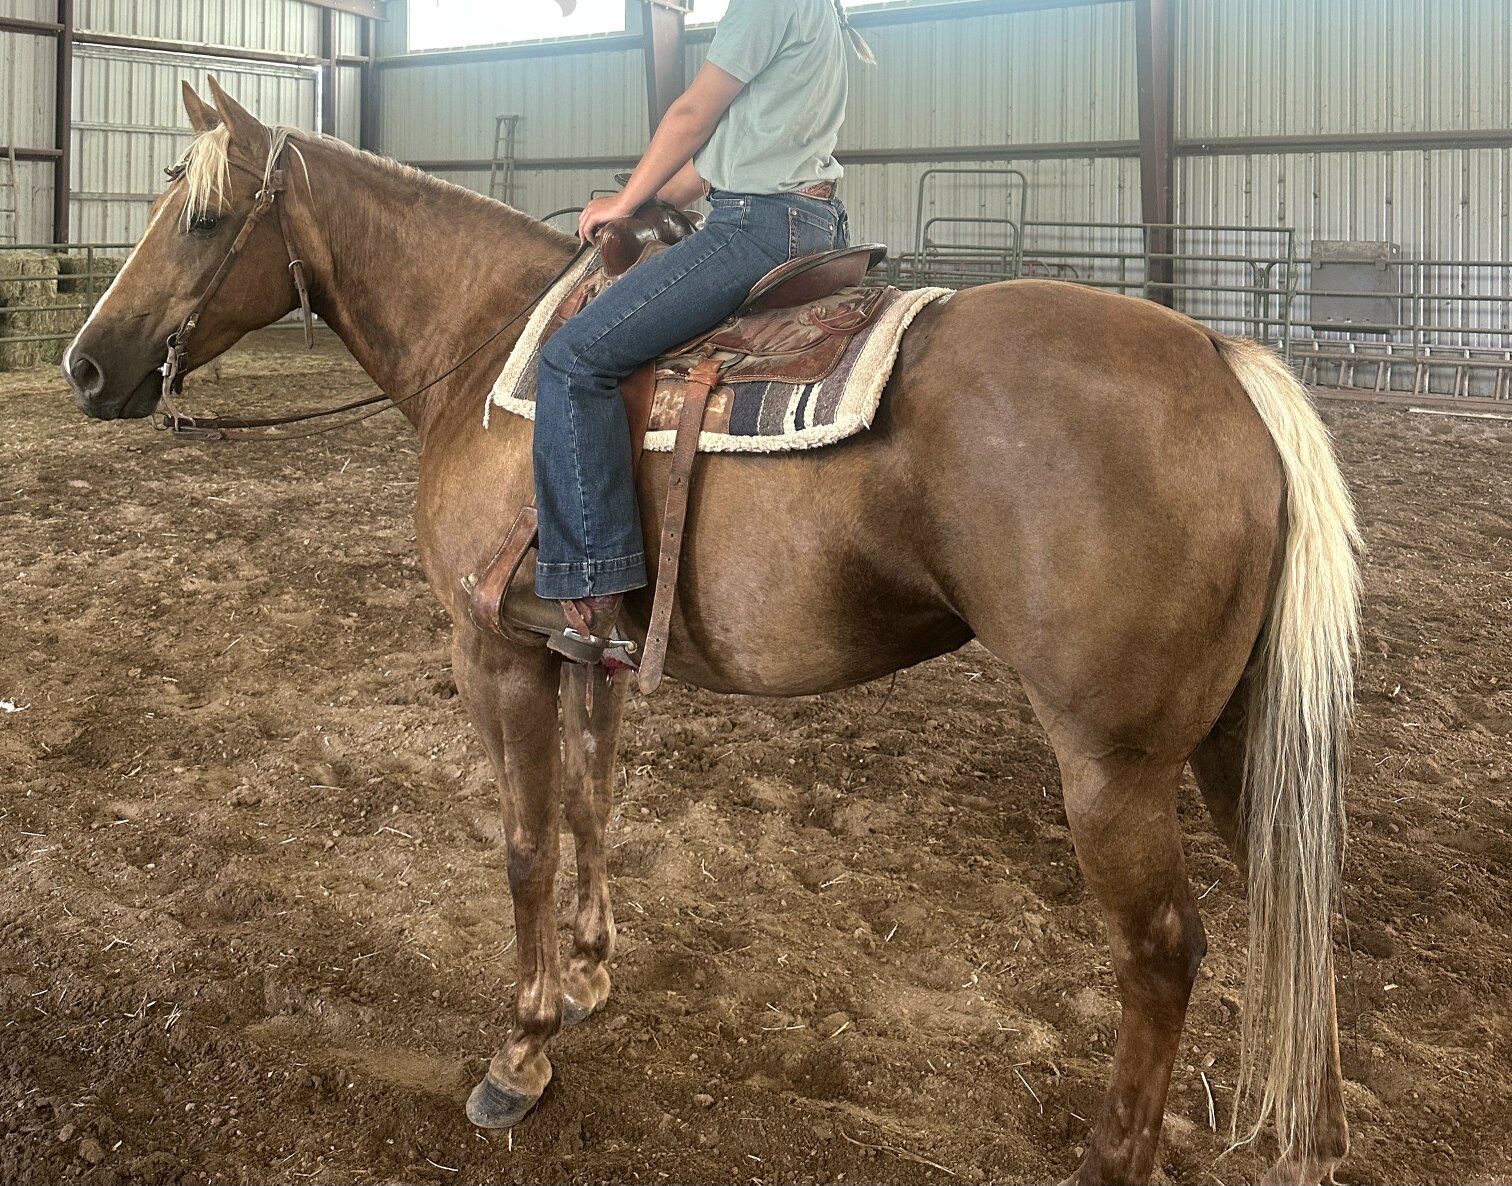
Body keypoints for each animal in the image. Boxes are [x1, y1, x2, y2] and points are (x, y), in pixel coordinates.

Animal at [61, 80, 1358, 1185]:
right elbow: (591, 804)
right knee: (1294, 916)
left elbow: (525, 841)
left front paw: (520, 1049)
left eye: (205, 219)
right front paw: (590, 974)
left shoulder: (495, 651)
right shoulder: (584, 647)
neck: (487, 355)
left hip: (1111, 764)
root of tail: (1220, 360)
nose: (82, 367)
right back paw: (1310, 1142)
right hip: (1237, 740)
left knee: (1164, 954)